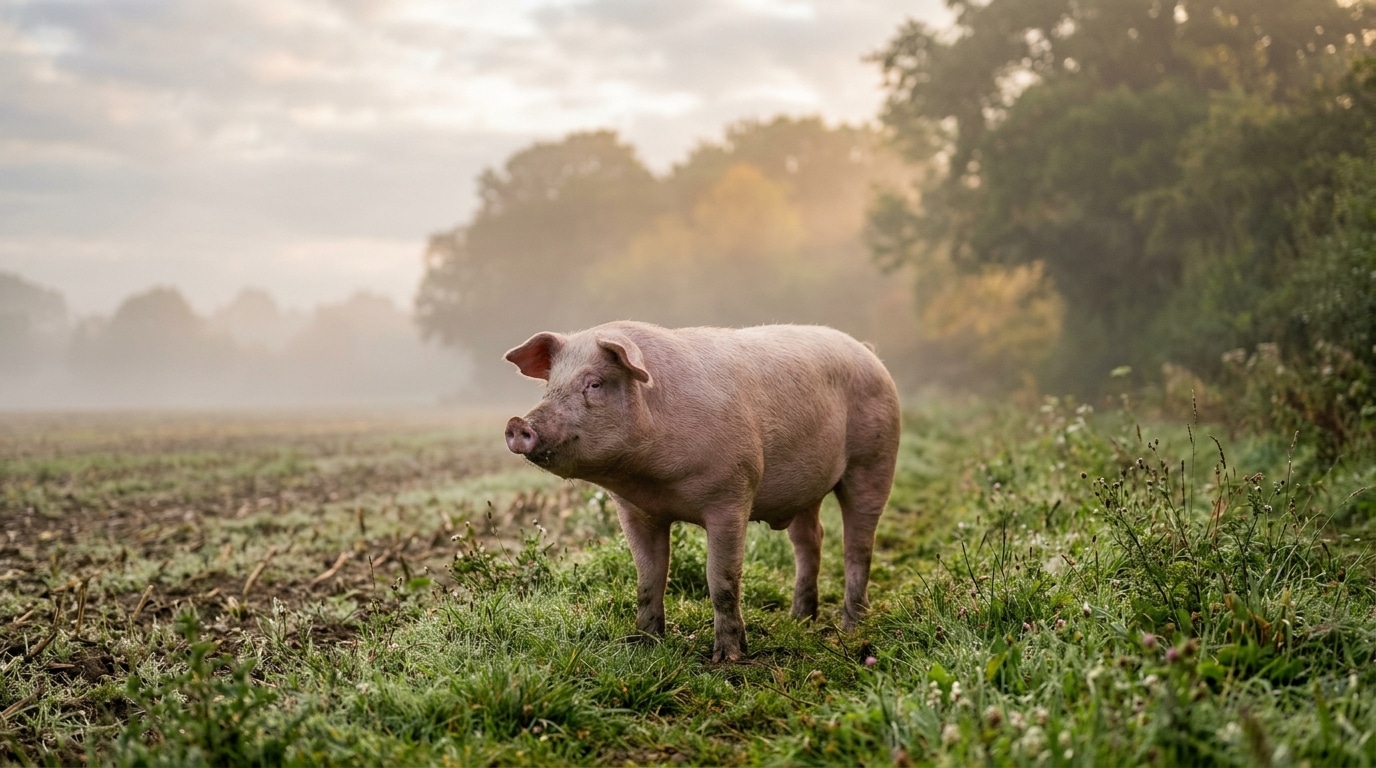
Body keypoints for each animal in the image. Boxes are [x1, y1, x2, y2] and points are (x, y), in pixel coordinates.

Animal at [503, 321, 900, 662]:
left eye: (595, 384)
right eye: (550, 385)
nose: (518, 424)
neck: (650, 479)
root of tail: (868, 353)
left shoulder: (731, 495)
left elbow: (721, 580)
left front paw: (728, 658)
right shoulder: (635, 511)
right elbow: (648, 577)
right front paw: (645, 644)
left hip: (874, 460)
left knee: (858, 544)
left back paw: (851, 627)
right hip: (807, 489)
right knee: (810, 539)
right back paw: (799, 619)